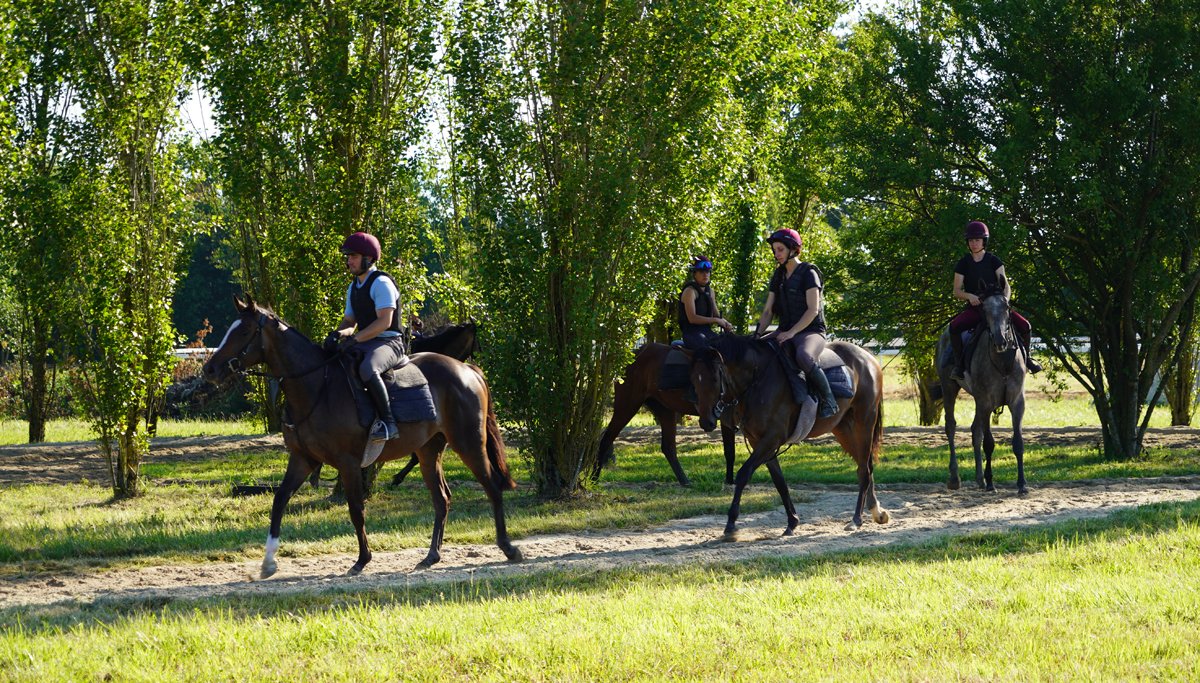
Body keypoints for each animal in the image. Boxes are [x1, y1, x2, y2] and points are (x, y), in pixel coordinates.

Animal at [202, 298, 522, 576]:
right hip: (429, 451)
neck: (316, 386)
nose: (209, 369)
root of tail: (466, 369)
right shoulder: (303, 459)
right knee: (441, 499)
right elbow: (279, 500)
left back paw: (508, 548)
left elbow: (356, 509)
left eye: (244, 330)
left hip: (468, 442)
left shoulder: (348, 463)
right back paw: (431, 556)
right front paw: (268, 562)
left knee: (492, 486)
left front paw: (362, 559)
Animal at [595, 342, 738, 487]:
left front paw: (730, 481)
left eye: (715, 379)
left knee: (668, 447)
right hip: (626, 406)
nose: (707, 422)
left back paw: (685, 482)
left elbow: (731, 449)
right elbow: (730, 450)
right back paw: (594, 478)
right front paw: (730, 481)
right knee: (606, 440)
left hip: (664, 410)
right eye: (693, 380)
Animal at [689, 334, 889, 539]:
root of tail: (867, 356)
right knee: (864, 466)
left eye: (715, 378)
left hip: (864, 422)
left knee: (864, 470)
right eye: (694, 379)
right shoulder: (759, 442)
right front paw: (792, 522)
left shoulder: (771, 438)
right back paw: (876, 511)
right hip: (843, 429)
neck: (757, 379)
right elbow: (779, 481)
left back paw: (856, 519)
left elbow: (744, 474)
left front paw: (730, 524)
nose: (706, 421)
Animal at [932, 283, 1028, 494]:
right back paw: (955, 478)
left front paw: (1022, 484)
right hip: (950, 388)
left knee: (975, 430)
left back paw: (979, 479)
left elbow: (1017, 442)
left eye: (1007, 308)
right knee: (951, 426)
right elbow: (989, 443)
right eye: (984, 309)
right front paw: (991, 482)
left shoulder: (1017, 401)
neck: (1002, 362)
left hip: (978, 400)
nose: (1001, 341)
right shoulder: (986, 401)